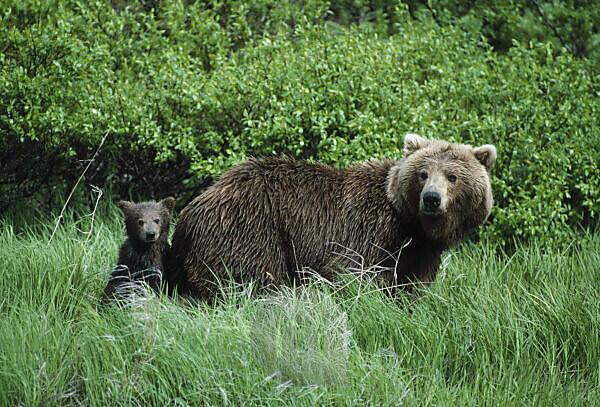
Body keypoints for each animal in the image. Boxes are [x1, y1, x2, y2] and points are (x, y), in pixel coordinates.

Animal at [165, 135, 496, 300]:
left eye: (452, 176)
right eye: (423, 173)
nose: (431, 199)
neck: (410, 225)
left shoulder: (419, 254)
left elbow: (411, 286)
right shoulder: (368, 231)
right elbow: (351, 272)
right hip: (249, 226)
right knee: (251, 277)